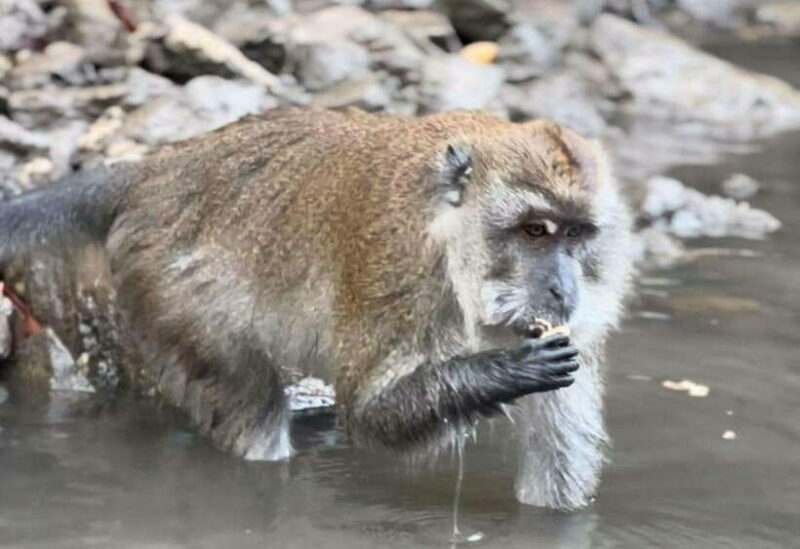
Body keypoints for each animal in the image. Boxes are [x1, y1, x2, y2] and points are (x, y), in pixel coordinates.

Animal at [0, 107, 634, 510]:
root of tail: (159, 171)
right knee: (247, 395)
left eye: (576, 234)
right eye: (534, 230)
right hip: (167, 284)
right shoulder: (396, 270)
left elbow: (558, 477)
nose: (564, 290)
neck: (450, 237)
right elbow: (371, 414)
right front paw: (505, 372)